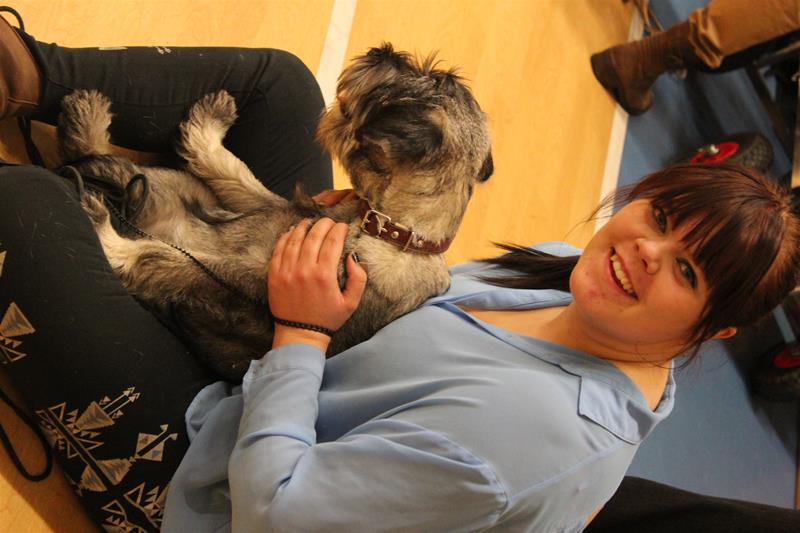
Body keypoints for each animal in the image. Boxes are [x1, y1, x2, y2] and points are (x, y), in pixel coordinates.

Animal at [56, 44, 493, 381]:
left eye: (433, 80)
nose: (379, 51)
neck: (386, 229)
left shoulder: (234, 282)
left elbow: (160, 260)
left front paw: (110, 240)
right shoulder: (272, 205)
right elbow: (231, 171)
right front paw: (209, 125)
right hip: (173, 186)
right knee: (97, 158)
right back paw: (87, 119)